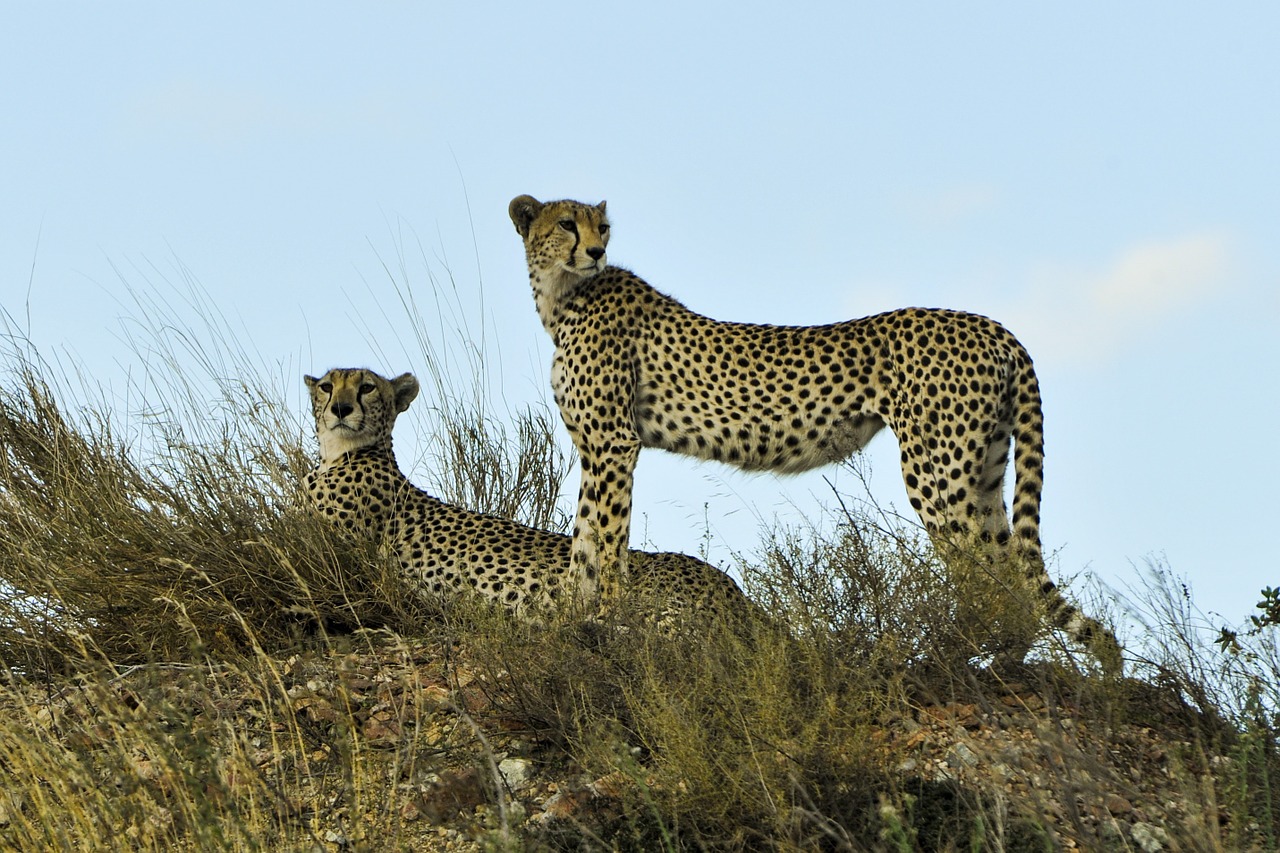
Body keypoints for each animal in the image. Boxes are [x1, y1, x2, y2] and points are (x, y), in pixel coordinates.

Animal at [506, 194, 1121, 671]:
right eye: (568, 223)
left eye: (601, 226)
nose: (595, 251)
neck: (562, 295)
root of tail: (991, 324)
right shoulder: (595, 448)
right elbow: (583, 539)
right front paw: (572, 618)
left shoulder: (614, 444)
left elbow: (607, 540)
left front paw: (606, 619)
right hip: (986, 464)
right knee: (1007, 565)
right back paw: (1002, 659)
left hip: (936, 468)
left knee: (983, 571)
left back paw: (954, 656)